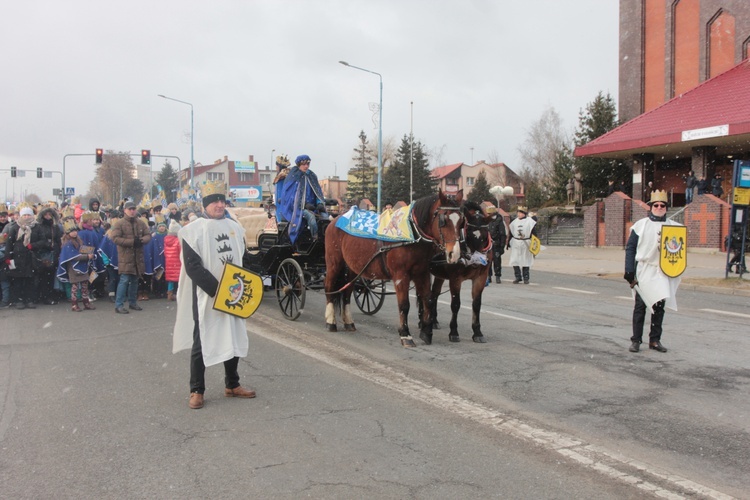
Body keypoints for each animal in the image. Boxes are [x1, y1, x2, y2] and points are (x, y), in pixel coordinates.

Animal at [324, 189, 464, 346]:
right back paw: (331, 322)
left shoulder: (422, 273)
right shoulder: (401, 275)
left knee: (347, 291)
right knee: (329, 287)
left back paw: (348, 322)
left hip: (353, 267)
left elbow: (428, 300)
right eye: (443, 221)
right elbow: (404, 305)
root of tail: (335, 220)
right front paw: (405, 334)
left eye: (461, 222)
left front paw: (427, 332)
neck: (412, 234)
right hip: (334, 263)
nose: (454, 254)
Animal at [426, 201, 496, 342]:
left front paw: (477, 332)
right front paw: (453, 331)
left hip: (439, 275)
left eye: (485, 235)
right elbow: (455, 304)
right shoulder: (455, 279)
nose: (476, 260)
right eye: (468, 232)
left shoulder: (481, 277)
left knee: (434, 294)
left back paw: (434, 320)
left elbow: (476, 304)